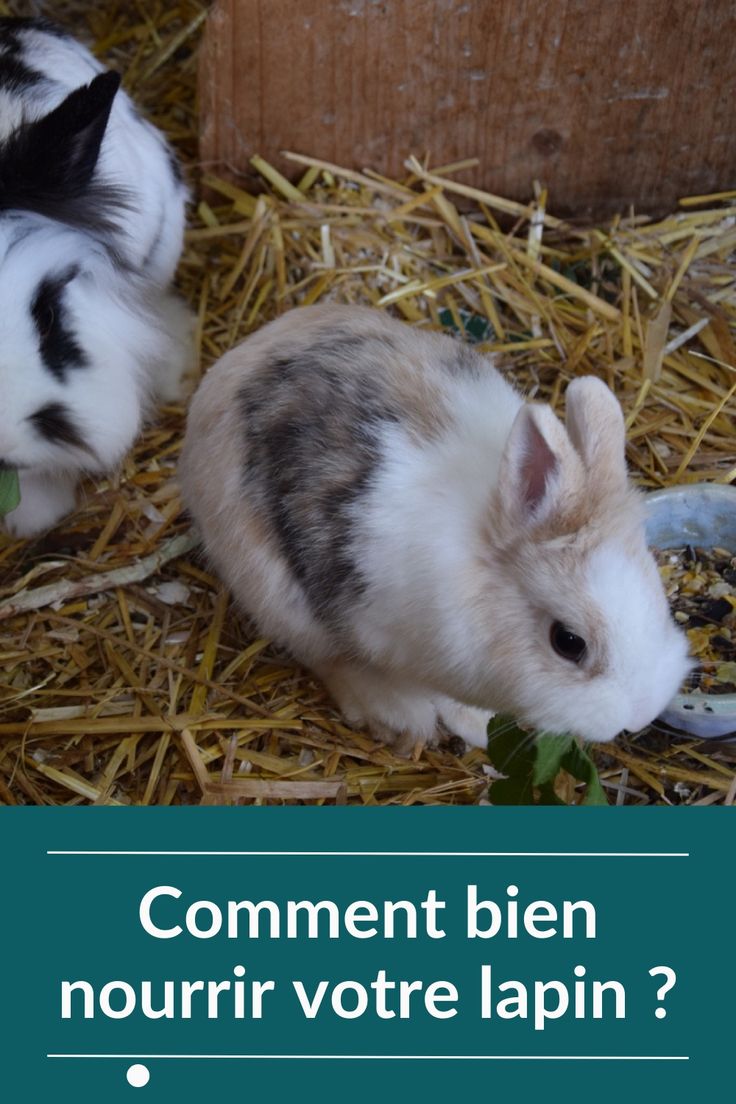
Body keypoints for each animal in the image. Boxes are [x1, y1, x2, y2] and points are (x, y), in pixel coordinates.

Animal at [179, 304, 692, 751]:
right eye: (568, 642)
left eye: (658, 593)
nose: (639, 715)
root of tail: (242, 353)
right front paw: (456, 726)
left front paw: (478, 725)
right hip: (271, 590)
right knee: (323, 654)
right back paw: (396, 716)